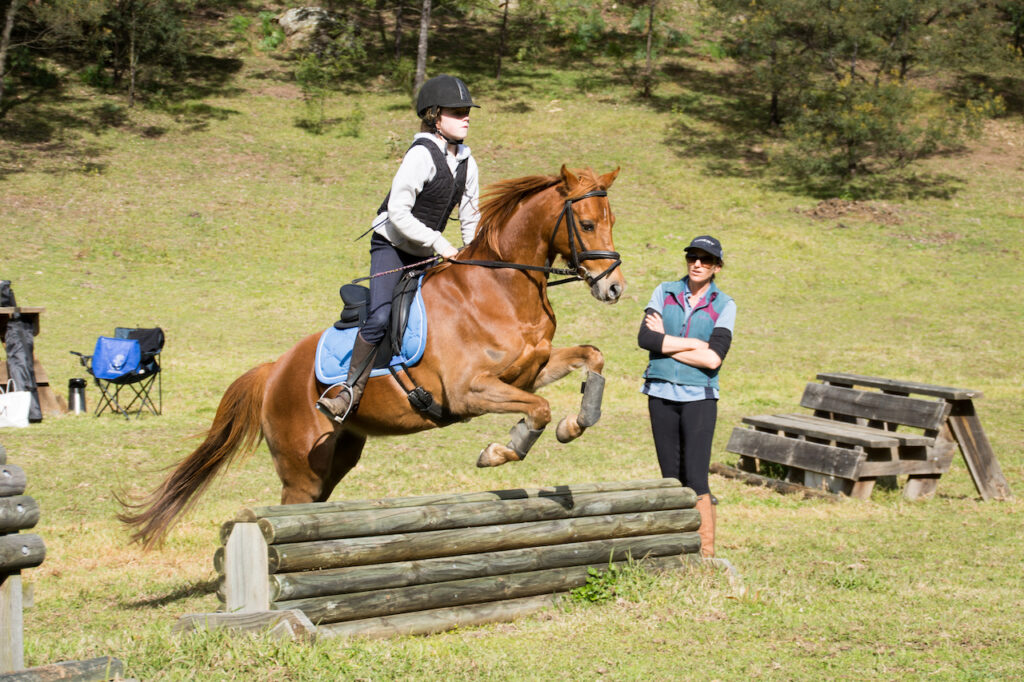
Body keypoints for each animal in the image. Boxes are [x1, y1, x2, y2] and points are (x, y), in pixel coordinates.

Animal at [123, 164, 626, 548]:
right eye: (586, 225)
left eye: (611, 221)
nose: (614, 288)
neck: (500, 288)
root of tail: (272, 371)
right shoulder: (470, 391)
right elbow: (537, 409)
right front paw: (501, 450)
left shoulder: (529, 373)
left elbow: (591, 358)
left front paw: (575, 423)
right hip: (301, 467)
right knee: (292, 509)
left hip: (338, 456)